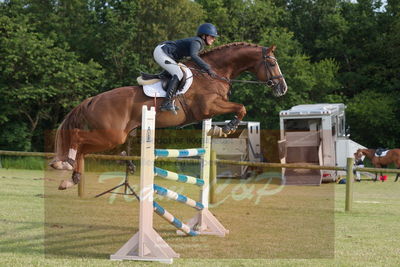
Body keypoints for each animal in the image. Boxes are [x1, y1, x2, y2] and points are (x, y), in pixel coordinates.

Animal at [50, 43, 288, 191]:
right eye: (272, 63)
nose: (282, 88)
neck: (213, 73)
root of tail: (93, 99)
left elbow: (239, 107)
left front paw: (220, 128)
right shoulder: (208, 108)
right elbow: (241, 107)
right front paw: (227, 127)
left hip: (113, 136)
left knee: (83, 147)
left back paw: (71, 180)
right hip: (112, 135)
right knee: (78, 139)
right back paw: (64, 165)